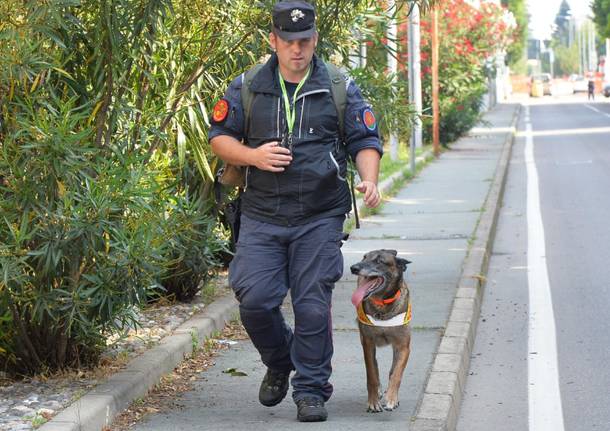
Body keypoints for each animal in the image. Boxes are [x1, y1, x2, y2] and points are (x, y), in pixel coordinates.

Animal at [350, 251, 410, 414]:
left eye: (379, 261)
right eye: (364, 257)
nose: (353, 268)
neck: (383, 305)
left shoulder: (403, 347)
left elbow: (396, 373)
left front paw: (392, 398)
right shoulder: (368, 344)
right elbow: (371, 375)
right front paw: (373, 402)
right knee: (375, 368)